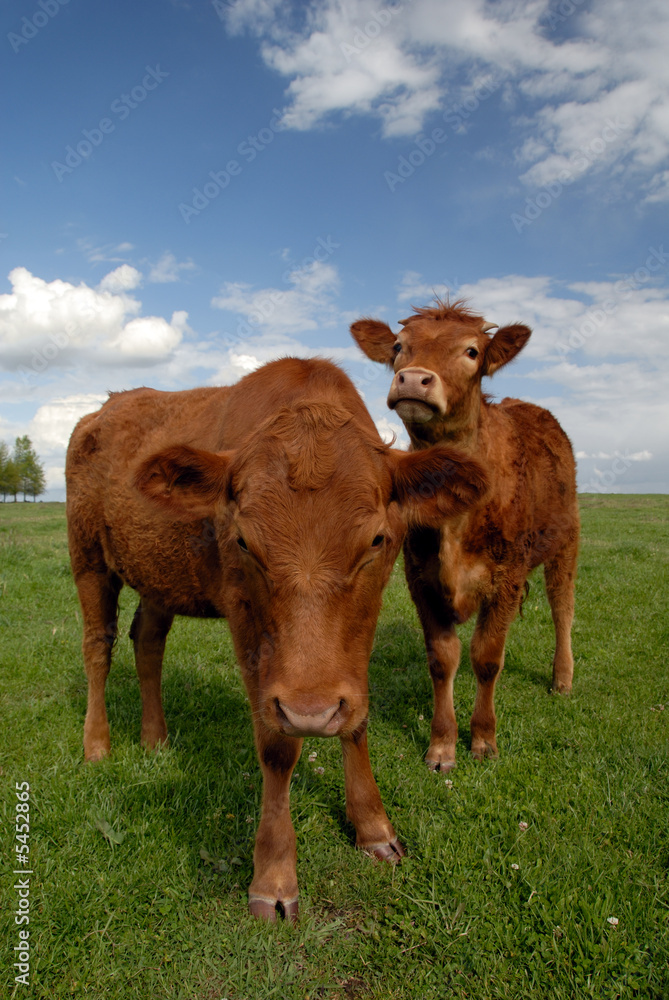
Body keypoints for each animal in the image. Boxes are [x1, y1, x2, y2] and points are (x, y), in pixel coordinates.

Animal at [66, 356, 488, 920]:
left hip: (160, 574)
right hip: (88, 556)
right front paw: (273, 875)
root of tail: (105, 408)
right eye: (244, 541)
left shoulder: (357, 637)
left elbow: (356, 720)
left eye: (376, 539)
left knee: (148, 641)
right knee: (98, 646)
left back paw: (155, 739)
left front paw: (373, 827)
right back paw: (97, 744)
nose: (311, 712)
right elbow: (277, 746)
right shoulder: (249, 631)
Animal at [351, 301, 579, 771]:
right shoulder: (420, 579)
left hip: (565, 541)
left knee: (562, 609)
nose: (413, 379)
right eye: (399, 347)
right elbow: (443, 660)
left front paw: (484, 739)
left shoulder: (507, 579)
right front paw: (442, 745)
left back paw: (562, 678)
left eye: (472, 351)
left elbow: (487, 658)